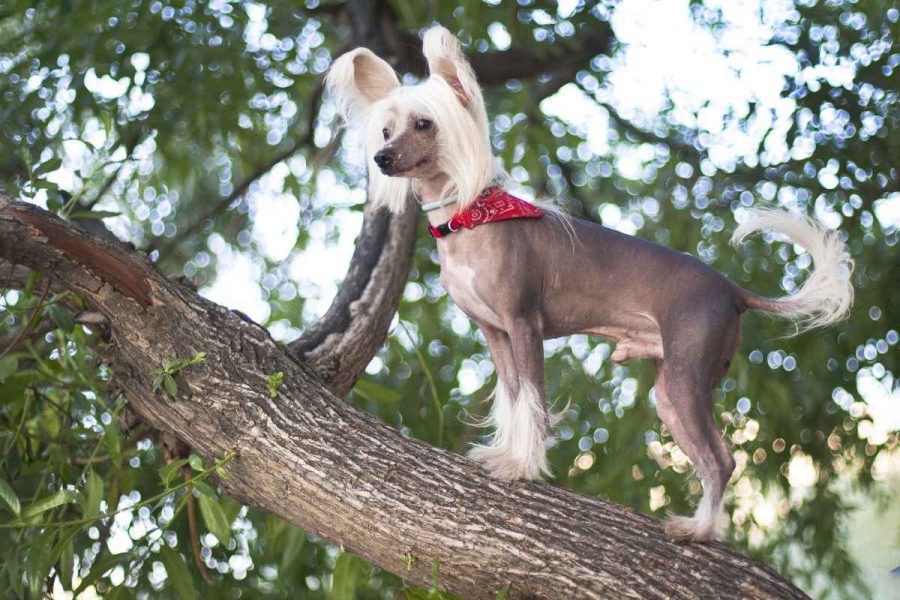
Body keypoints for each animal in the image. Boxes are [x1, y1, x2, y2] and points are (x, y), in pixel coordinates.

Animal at [326, 25, 856, 540]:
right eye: (386, 129)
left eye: (423, 124)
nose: (381, 157)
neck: (469, 220)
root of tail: (732, 290)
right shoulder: (495, 333)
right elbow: (513, 398)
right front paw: (505, 454)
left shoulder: (524, 325)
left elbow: (533, 398)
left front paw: (522, 467)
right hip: (670, 393)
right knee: (713, 459)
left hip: (685, 377)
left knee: (722, 460)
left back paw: (700, 530)